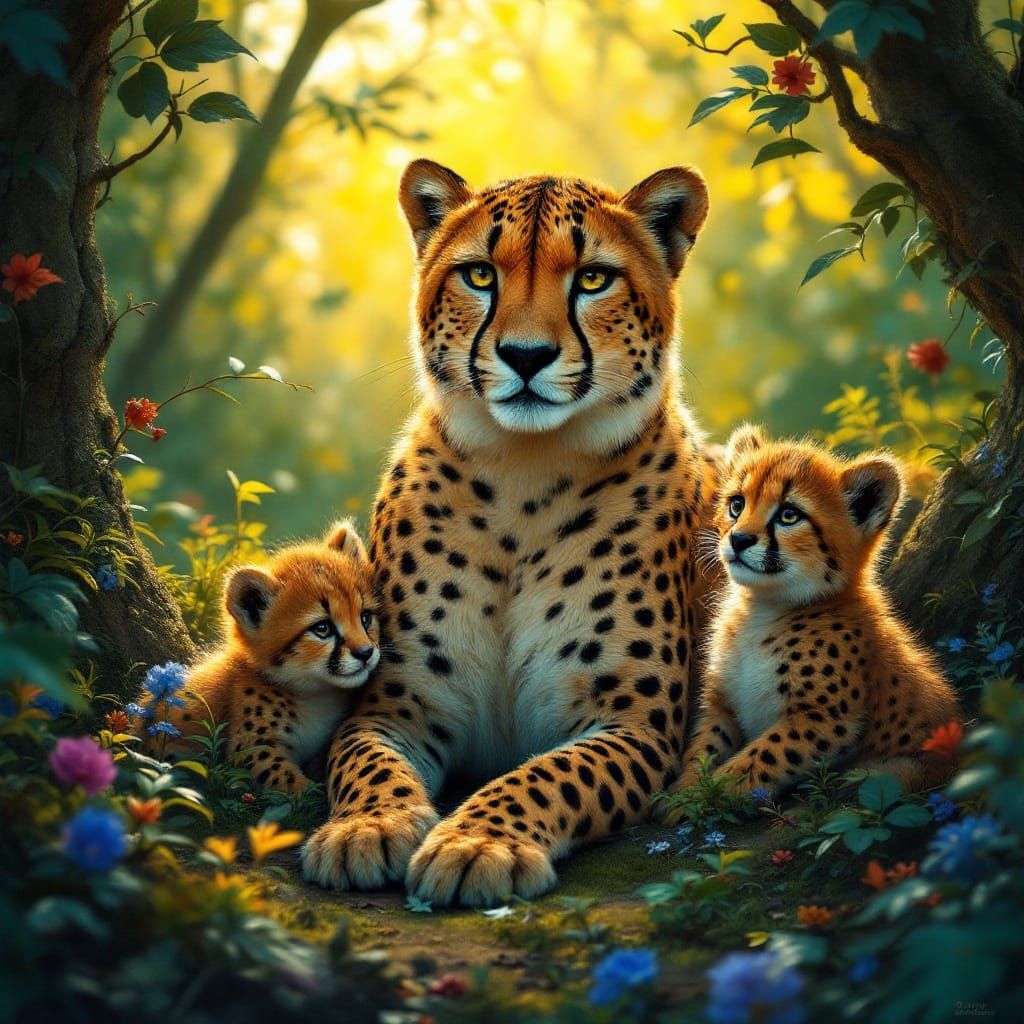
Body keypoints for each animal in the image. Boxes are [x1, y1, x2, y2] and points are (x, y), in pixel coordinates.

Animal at [144, 521, 380, 793]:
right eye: (323, 628)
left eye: (365, 617)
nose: (366, 653)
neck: (315, 694)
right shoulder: (249, 750)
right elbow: (295, 786)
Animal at [301, 158, 721, 906]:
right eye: (479, 275)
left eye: (592, 279)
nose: (527, 355)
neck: (526, 473)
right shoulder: (393, 703)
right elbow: (362, 762)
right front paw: (365, 827)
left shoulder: (634, 721)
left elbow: (548, 776)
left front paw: (478, 842)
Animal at [670, 425, 960, 802]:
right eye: (737, 504)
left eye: (789, 514)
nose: (739, 539)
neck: (762, 607)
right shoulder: (722, 707)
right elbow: (701, 752)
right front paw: (682, 795)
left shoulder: (825, 720)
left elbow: (752, 762)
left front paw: (706, 798)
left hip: (896, 770)